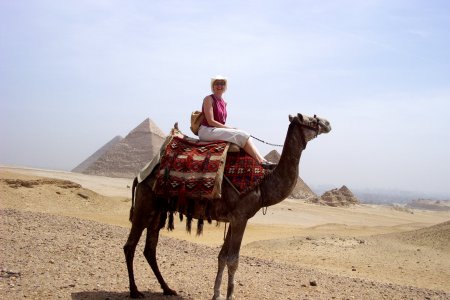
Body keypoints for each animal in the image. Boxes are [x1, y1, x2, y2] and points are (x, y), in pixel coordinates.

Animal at [123, 113, 330, 298]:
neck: (263, 183)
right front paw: (229, 295)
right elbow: (233, 260)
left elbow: (222, 257)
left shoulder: (235, 218)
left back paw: (167, 289)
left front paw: (217, 294)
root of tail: (141, 175)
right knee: (130, 246)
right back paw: (135, 291)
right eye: (312, 120)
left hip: (158, 211)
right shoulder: (240, 217)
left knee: (150, 249)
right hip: (144, 205)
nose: (328, 123)